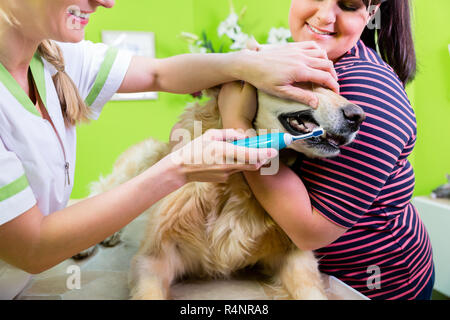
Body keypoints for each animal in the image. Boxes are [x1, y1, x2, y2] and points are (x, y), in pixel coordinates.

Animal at [86, 85, 364, 300]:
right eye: (303, 81)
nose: (358, 116)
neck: (238, 184)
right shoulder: (153, 257)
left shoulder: (293, 252)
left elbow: (311, 291)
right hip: (147, 158)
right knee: (106, 192)